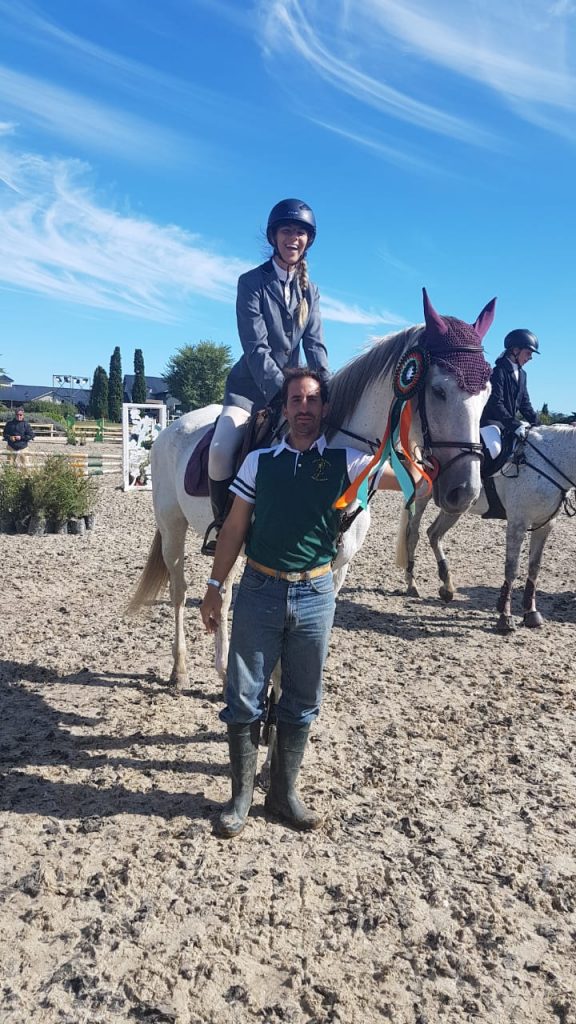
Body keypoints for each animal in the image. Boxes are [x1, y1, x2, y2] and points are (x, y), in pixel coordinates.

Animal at [129, 288, 496, 688]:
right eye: (439, 391)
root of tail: (170, 428)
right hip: (172, 526)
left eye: (487, 394)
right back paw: (179, 669)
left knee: (221, 594)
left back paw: (225, 669)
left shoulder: (336, 568)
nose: (465, 492)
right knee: (179, 593)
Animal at [396, 424, 576, 632]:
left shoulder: (544, 525)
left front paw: (531, 613)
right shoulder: (518, 523)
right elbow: (511, 569)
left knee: (434, 534)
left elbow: (534, 568)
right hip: (423, 498)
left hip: (455, 505)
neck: (551, 462)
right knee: (413, 535)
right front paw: (505, 617)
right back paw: (412, 584)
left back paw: (447, 587)